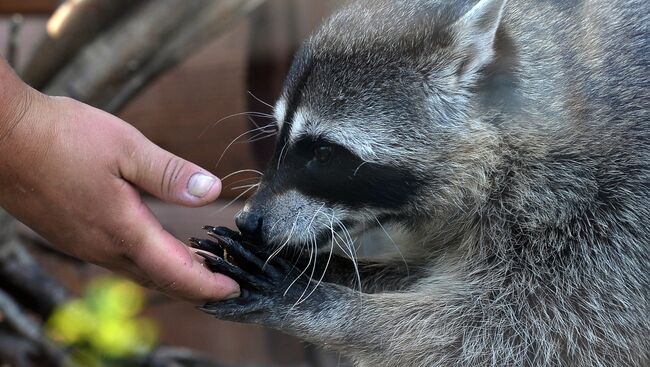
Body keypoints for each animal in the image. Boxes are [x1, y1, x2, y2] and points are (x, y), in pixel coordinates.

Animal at [192, 0, 648, 366]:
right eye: (279, 135)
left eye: (323, 153)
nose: (250, 221)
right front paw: (330, 271)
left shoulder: (607, 215)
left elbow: (512, 336)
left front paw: (334, 308)